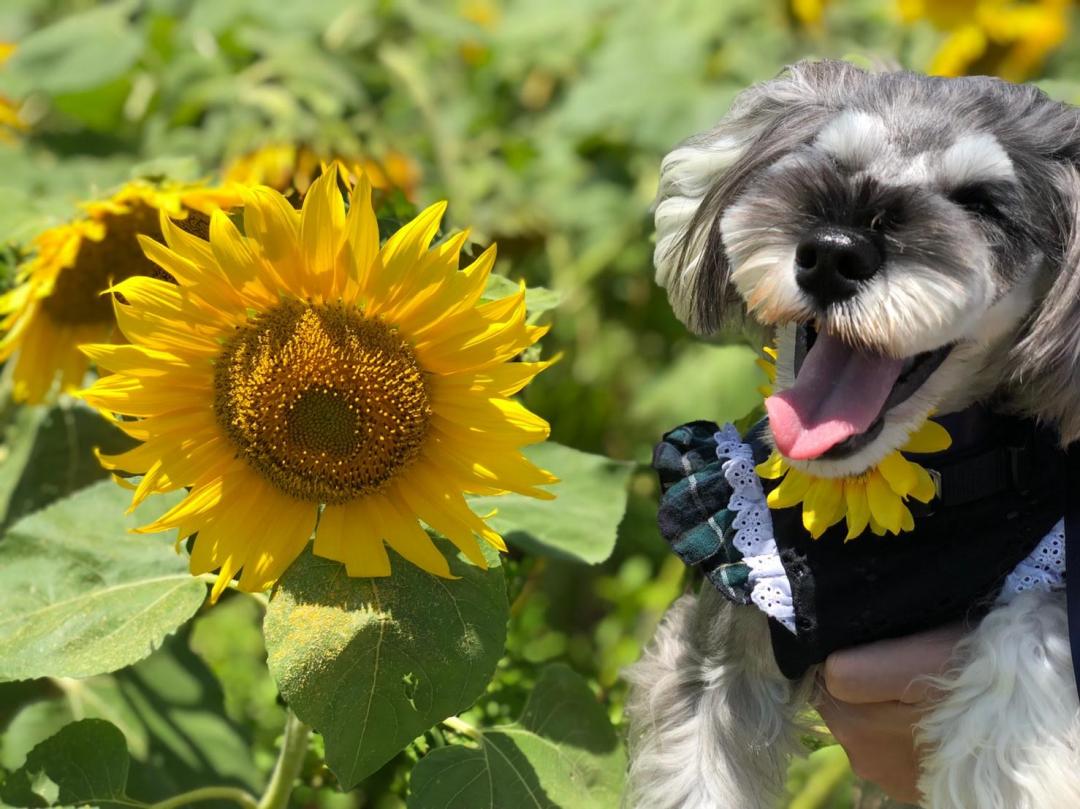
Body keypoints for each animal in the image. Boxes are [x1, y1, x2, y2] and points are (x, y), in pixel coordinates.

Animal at [622, 59, 1080, 803]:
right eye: (829, 165)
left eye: (982, 203)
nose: (834, 254)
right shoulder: (728, 633)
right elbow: (700, 764)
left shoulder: (1050, 563)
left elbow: (1032, 635)